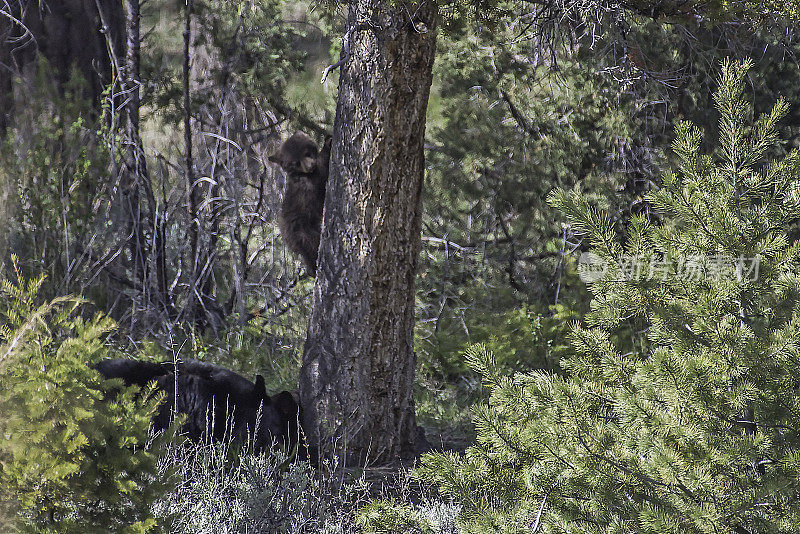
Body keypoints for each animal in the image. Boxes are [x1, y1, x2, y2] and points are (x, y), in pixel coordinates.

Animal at [268, 132, 332, 278]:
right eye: (295, 163)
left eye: (307, 153)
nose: (310, 166)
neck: (301, 174)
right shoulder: (310, 182)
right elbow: (322, 170)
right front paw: (327, 143)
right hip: (302, 232)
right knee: (312, 246)